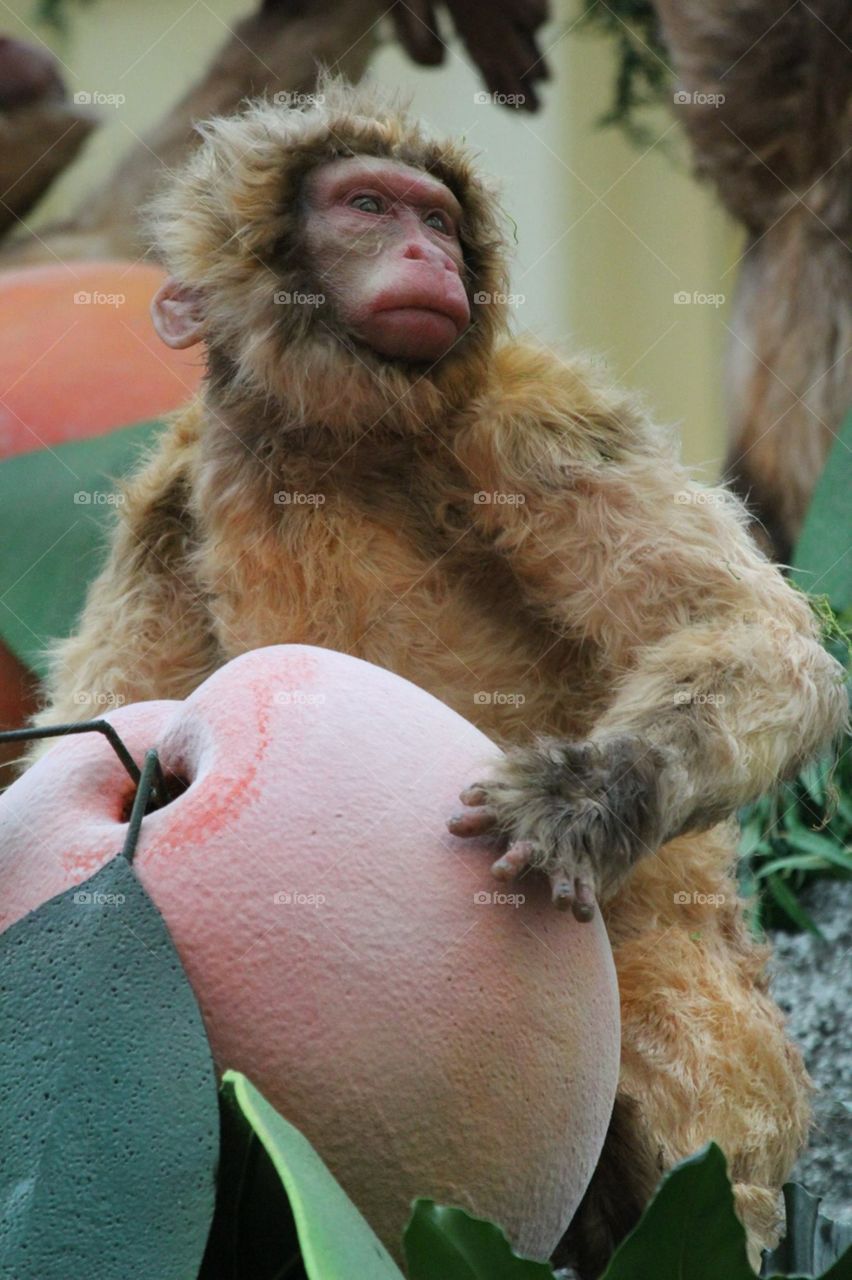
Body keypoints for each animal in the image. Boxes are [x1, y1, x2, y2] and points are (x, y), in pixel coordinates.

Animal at [22, 79, 848, 1273]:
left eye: (438, 220)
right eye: (368, 206)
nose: (430, 252)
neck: (324, 442)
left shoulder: (531, 416)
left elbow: (754, 633)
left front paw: (589, 797)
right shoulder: (174, 492)